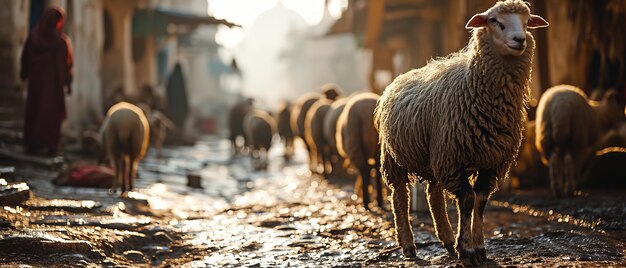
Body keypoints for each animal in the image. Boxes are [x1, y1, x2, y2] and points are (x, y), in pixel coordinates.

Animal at [370, 1, 544, 264]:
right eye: (495, 21)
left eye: (526, 22)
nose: (519, 40)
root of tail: (398, 78)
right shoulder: (453, 158)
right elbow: (467, 200)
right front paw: (467, 250)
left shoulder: (492, 161)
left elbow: (480, 200)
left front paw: (478, 247)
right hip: (395, 157)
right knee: (400, 196)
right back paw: (408, 245)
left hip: (434, 157)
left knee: (433, 194)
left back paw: (447, 240)